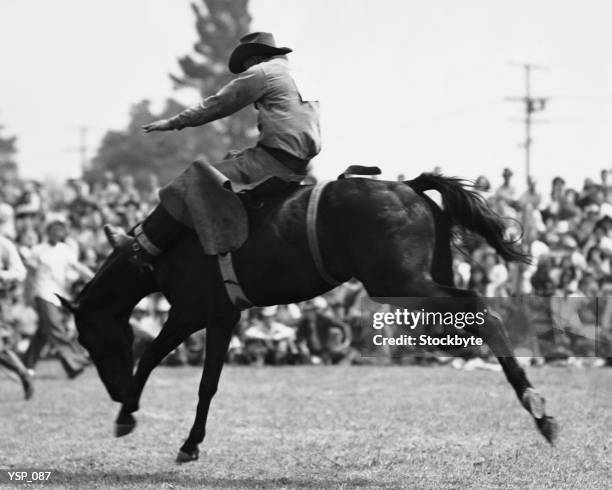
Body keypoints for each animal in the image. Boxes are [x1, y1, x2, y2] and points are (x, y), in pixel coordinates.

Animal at [59, 173, 556, 464]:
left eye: (88, 338)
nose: (114, 390)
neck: (164, 249)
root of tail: (411, 187)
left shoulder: (189, 312)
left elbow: (150, 357)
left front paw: (127, 412)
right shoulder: (222, 315)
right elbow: (208, 383)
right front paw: (190, 441)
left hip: (402, 282)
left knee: (482, 311)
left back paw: (536, 406)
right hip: (424, 279)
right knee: (471, 317)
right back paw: (536, 406)